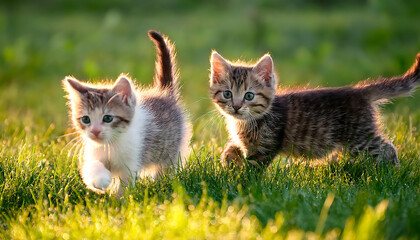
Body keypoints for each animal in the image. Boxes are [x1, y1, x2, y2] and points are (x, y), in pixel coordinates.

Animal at [63, 30, 191, 195]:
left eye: (108, 118)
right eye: (86, 119)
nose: (95, 131)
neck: (111, 145)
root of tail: (163, 92)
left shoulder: (131, 160)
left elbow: (124, 184)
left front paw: (119, 199)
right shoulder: (93, 152)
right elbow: (90, 169)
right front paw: (100, 180)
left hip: (171, 149)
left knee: (166, 168)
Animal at [209, 51, 420, 167]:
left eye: (249, 96)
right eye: (227, 94)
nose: (236, 107)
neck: (245, 122)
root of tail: (358, 91)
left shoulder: (265, 147)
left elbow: (252, 168)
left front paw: (242, 181)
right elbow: (232, 148)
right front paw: (229, 160)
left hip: (359, 138)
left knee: (387, 149)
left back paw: (391, 172)